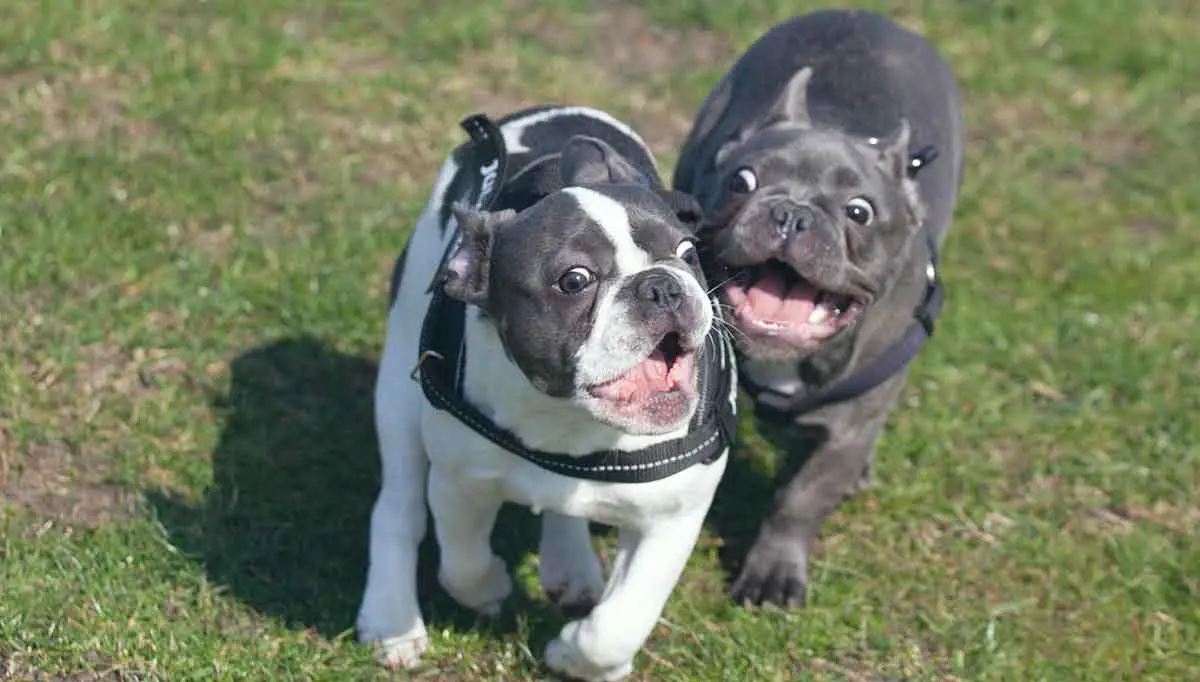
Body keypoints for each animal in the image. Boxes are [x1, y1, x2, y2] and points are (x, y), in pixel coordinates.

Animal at [355, 103, 734, 677]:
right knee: (397, 505)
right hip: (400, 383)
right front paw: (491, 586)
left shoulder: (673, 515)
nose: (662, 285)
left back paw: (569, 564)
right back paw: (390, 616)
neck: (567, 420)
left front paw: (581, 658)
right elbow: (461, 563)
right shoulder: (460, 483)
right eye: (574, 280)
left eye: (688, 252)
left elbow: (622, 621)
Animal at [676, 7, 964, 607]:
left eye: (860, 211)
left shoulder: (850, 429)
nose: (791, 212)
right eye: (742, 180)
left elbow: (801, 499)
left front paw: (772, 572)